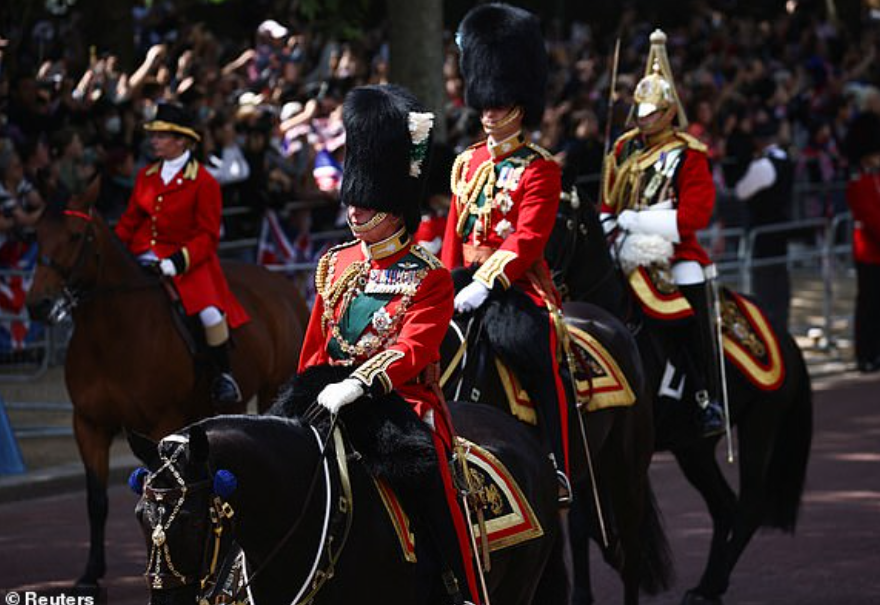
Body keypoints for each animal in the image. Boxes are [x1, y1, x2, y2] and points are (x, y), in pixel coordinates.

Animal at [24, 179, 310, 584]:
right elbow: (97, 500)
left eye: (76, 234)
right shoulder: (88, 424)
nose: (39, 305)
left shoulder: (161, 420)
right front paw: (92, 571)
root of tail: (279, 282)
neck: (109, 336)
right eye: (36, 233)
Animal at [556, 191, 812, 600]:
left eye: (563, 222)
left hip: (760, 425)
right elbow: (583, 523)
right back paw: (709, 583)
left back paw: (711, 584)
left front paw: (634, 565)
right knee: (725, 506)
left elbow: (605, 521)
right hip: (693, 449)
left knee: (750, 505)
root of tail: (785, 336)